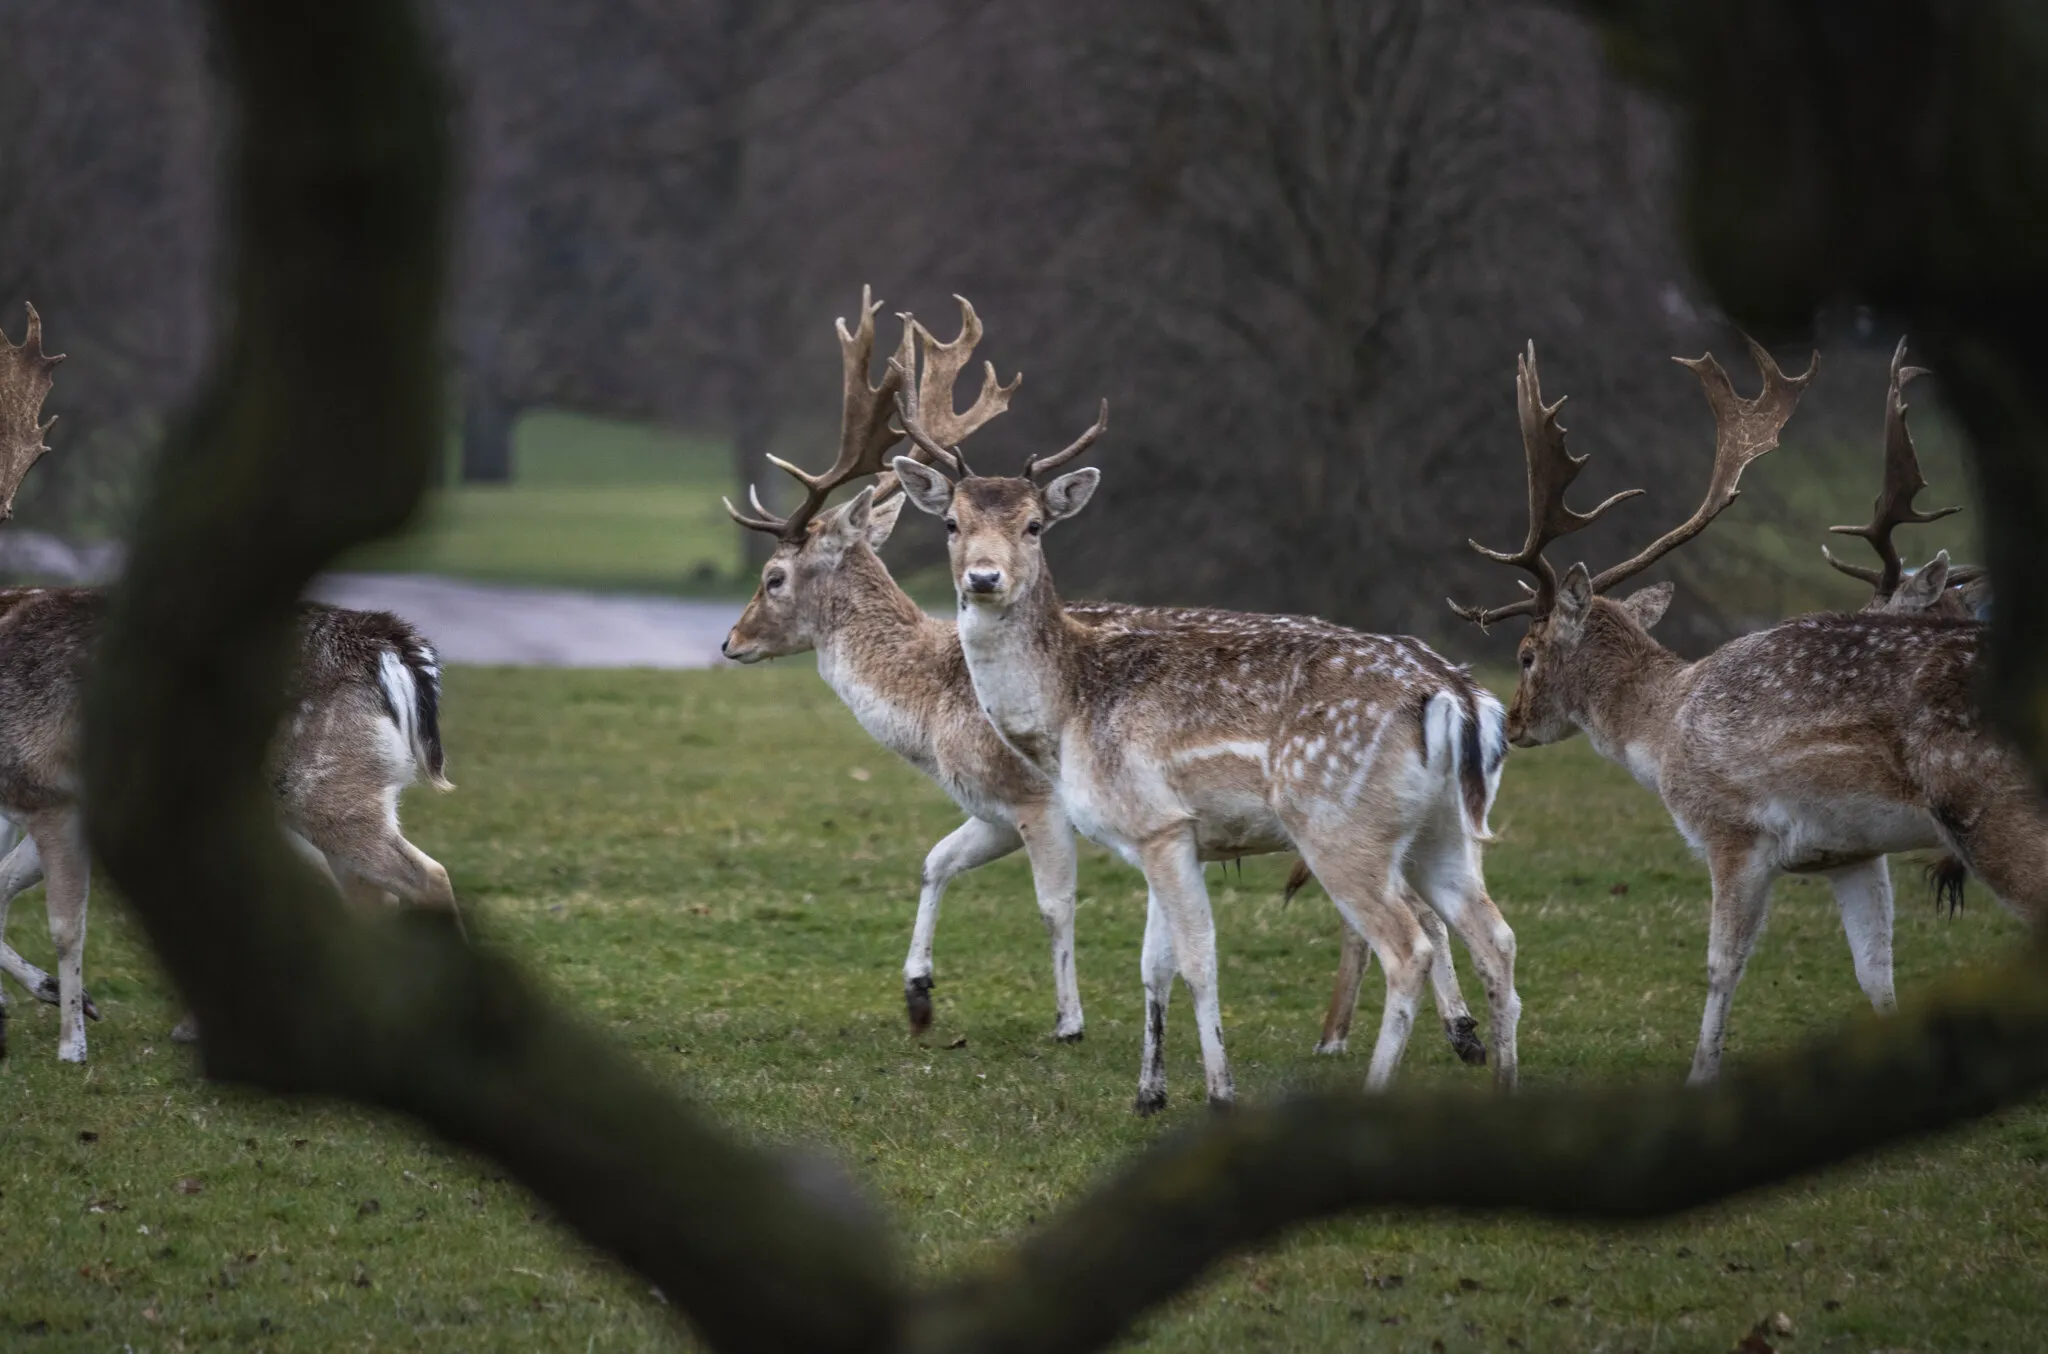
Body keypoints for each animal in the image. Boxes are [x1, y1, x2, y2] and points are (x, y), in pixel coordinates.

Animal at [0, 304, 457, 1062]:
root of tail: (390, 644)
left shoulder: (45, 786)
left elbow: (67, 923)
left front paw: (72, 1046)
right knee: (366, 898)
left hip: (323, 787)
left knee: (427, 880)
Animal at [719, 290, 1491, 1064]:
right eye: (950, 523)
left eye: (773, 577)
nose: (730, 641)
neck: (932, 707)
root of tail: (1456, 688)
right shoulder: (993, 810)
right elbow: (935, 861)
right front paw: (918, 997)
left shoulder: (1034, 797)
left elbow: (1053, 904)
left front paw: (1069, 1019)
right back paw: (1408, 1035)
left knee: (1410, 917)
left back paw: (1420, 1033)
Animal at [888, 376, 1517, 1113]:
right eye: (951, 523)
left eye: (1035, 524)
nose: (984, 578)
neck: (1067, 712)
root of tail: (1456, 696)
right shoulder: (1165, 834)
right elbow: (1153, 964)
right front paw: (1148, 1093)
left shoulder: (1155, 821)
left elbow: (1197, 959)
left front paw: (1219, 1093)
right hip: (1447, 832)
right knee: (1496, 937)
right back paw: (1506, 1083)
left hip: (1339, 826)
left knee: (1409, 947)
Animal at [1452, 335, 2048, 1083]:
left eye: (1527, 653)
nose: (1515, 723)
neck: (1662, 731)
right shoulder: (1851, 851)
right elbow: (1877, 973)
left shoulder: (1733, 829)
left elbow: (1721, 965)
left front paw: (1700, 1074)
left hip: (1994, 807)